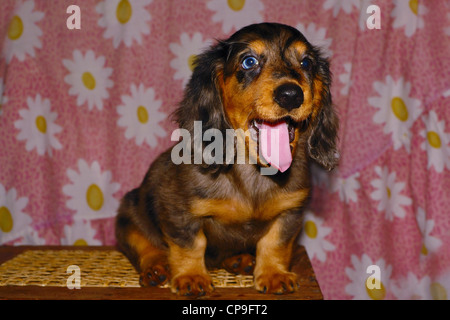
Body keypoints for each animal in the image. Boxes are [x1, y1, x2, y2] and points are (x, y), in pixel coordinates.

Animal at [116, 22, 338, 296]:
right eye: (249, 61)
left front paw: (273, 273)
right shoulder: (178, 210)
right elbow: (191, 244)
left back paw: (238, 259)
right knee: (144, 245)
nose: (291, 95)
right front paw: (191, 276)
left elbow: (275, 243)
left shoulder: (291, 210)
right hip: (128, 215)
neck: (253, 172)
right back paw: (156, 267)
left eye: (306, 63)